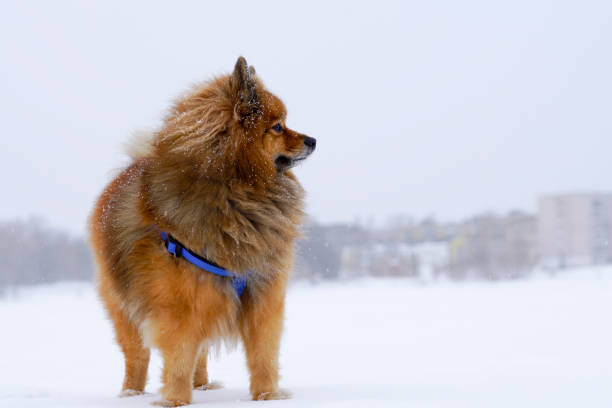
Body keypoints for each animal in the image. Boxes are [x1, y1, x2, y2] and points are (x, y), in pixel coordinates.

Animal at [89, 56, 316, 404]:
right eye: (278, 126)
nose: (313, 140)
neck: (235, 192)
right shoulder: (180, 306)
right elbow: (179, 357)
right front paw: (175, 401)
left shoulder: (263, 293)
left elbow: (262, 355)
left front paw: (267, 396)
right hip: (125, 305)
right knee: (137, 356)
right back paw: (131, 394)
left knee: (201, 352)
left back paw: (203, 386)